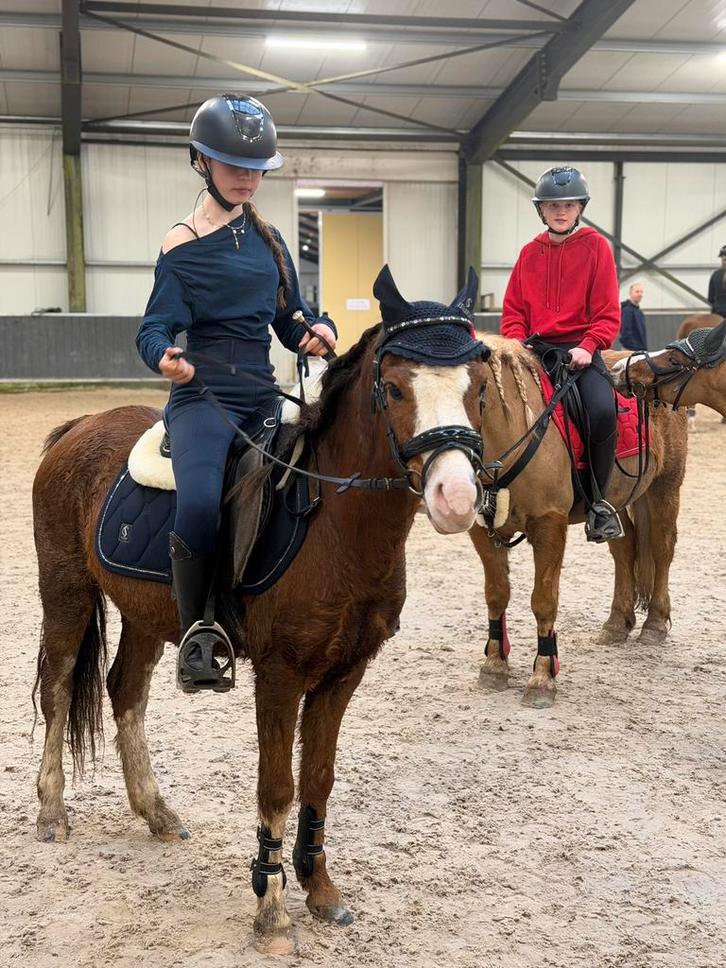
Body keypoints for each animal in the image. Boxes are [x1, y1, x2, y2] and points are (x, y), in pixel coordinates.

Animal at [31, 266, 492, 954]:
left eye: (479, 386)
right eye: (393, 387)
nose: (456, 497)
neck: (336, 525)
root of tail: (80, 426)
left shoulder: (344, 673)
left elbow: (318, 777)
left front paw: (320, 889)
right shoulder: (281, 676)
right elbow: (276, 786)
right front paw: (271, 909)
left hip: (144, 613)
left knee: (125, 690)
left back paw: (156, 812)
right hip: (65, 590)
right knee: (59, 689)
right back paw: (52, 812)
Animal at [468, 336, 688, 708]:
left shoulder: (549, 526)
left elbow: (544, 601)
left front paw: (543, 678)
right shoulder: (482, 530)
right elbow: (496, 594)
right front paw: (495, 665)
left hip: (665, 487)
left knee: (662, 549)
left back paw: (654, 625)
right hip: (617, 499)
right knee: (625, 551)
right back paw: (617, 623)